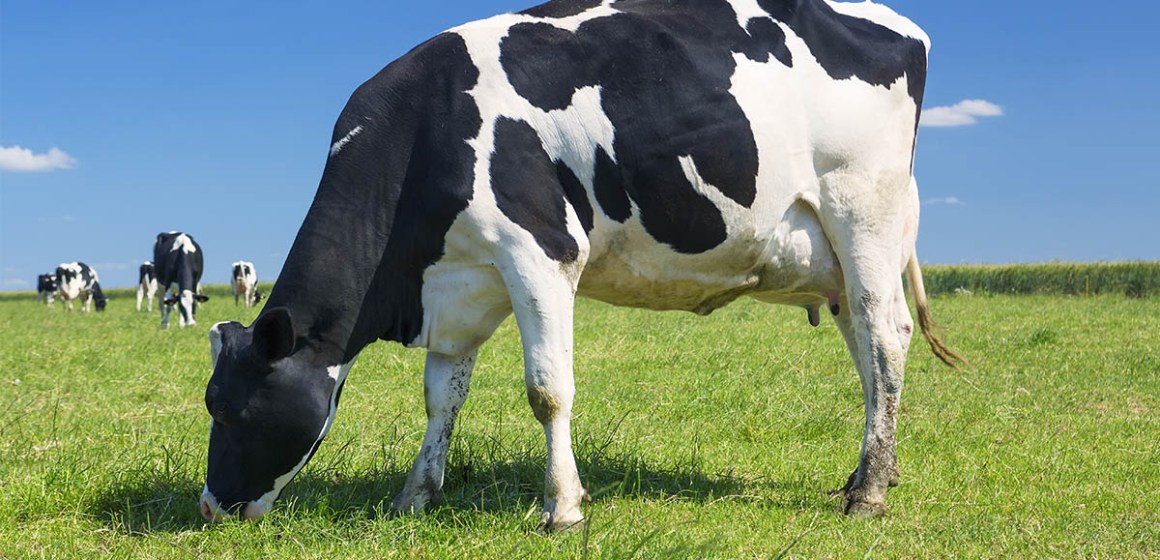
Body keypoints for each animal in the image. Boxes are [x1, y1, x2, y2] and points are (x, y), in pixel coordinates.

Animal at [199, 0, 966, 529]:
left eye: (227, 407)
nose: (208, 506)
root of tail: (899, 24)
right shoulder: (458, 284)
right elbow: (441, 397)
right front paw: (415, 495)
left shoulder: (539, 253)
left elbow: (547, 391)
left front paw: (562, 509)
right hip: (837, 253)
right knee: (866, 349)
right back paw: (870, 474)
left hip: (863, 210)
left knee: (886, 335)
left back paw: (869, 492)